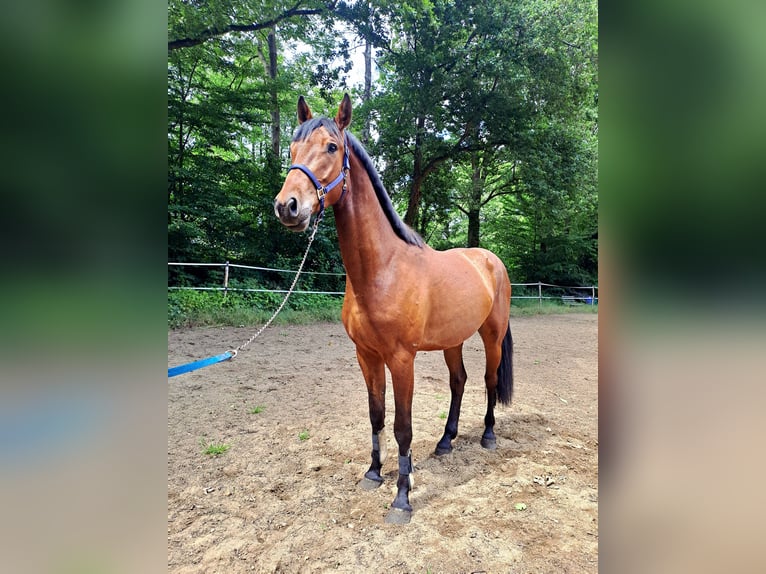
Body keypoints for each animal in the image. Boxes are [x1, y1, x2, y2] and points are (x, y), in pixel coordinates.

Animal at [274, 94, 514, 524]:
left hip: (492, 335)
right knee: (459, 381)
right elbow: (377, 414)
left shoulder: (402, 359)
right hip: (452, 341)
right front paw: (373, 472)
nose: (288, 206)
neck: (383, 269)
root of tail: (490, 261)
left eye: (331, 147)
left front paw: (402, 497)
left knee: (487, 381)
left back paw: (487, 435)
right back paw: (446, 441)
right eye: (292, 150)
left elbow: (403, 426)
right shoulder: (366, 356)